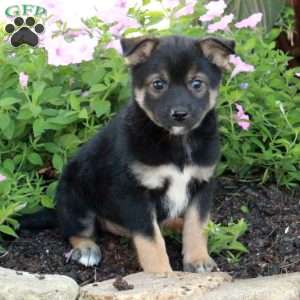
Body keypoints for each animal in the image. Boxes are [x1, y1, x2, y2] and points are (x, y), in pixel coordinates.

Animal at [55, 34, 234, 272]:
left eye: (197, 83)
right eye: (158, 84)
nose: (179, 114)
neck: (176, 141)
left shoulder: (202, 183)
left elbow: (196, 225)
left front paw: (198, 260)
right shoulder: (135, 192)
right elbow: (150, 239)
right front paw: (161, 273)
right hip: (75, 197)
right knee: (75, 230)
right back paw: (86, 249)